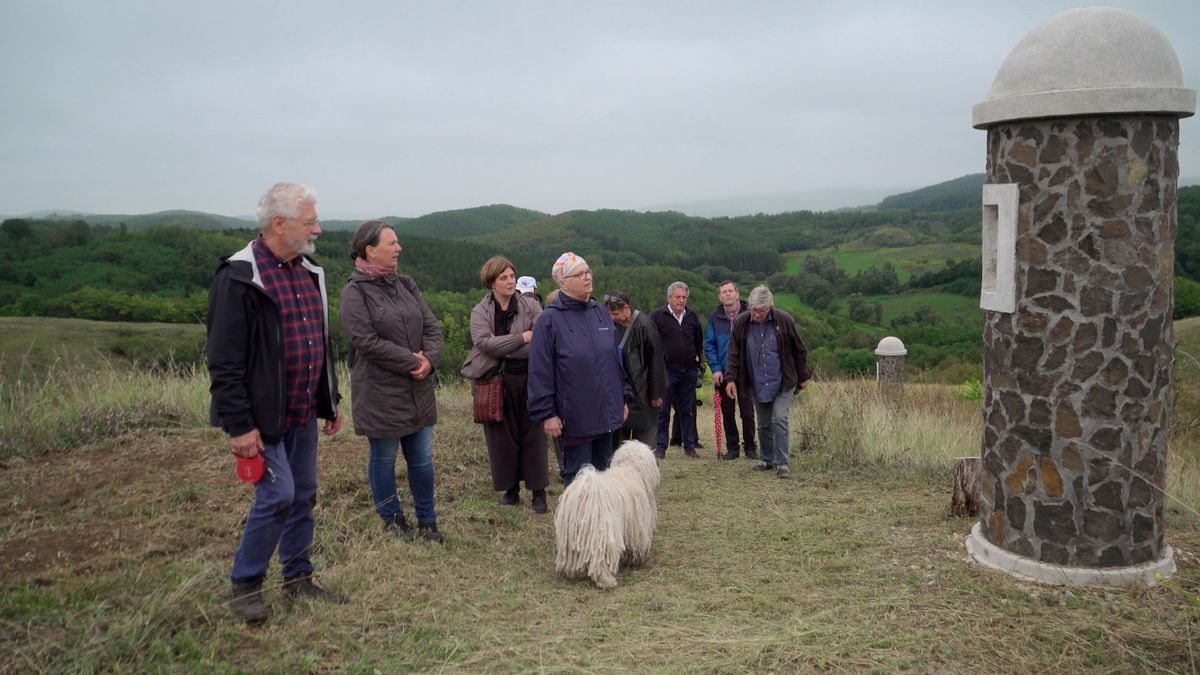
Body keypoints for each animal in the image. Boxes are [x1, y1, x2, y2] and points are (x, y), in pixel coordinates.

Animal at [554, 439, 662, 586]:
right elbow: (637, 543)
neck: (630, 468)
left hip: (571, 535)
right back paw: (607, 581)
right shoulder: (636, 524)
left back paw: (576, 573)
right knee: (600, 562)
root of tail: (585, 493)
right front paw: (636, 559)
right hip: (602, 534)